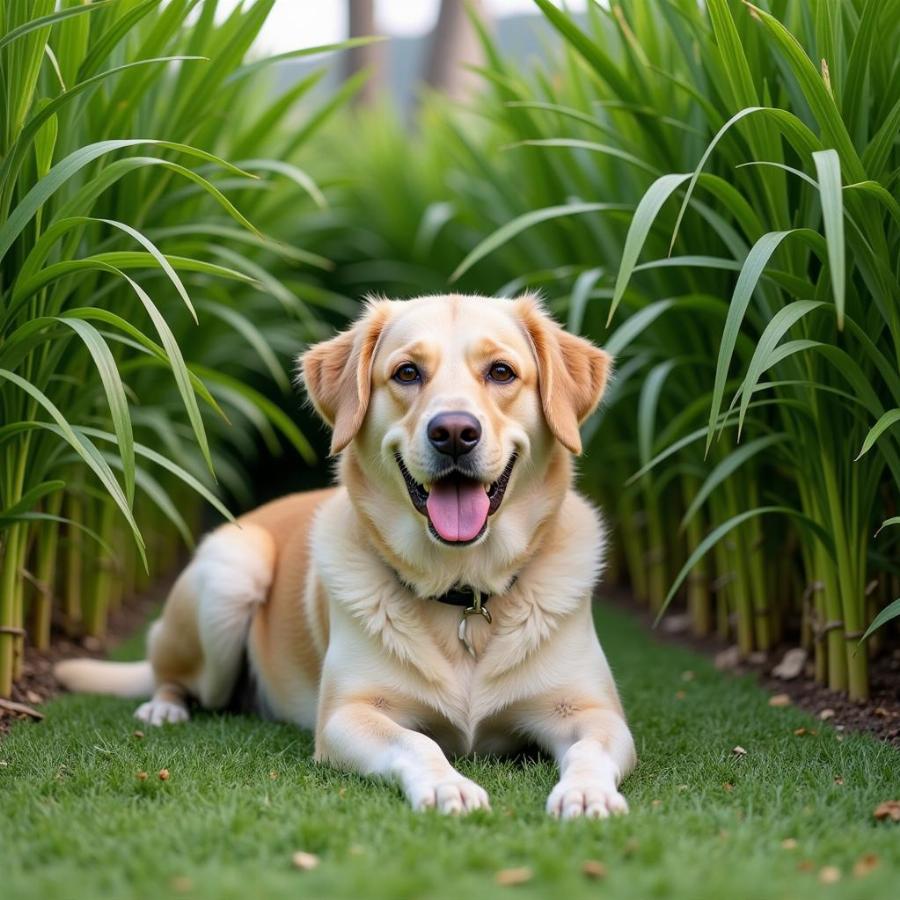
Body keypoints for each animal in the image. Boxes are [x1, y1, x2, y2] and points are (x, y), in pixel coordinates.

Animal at [56, 294, 636, 816]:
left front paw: (586, 794)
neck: (463, 593)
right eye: (407, 372)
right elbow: (419, 742)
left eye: (501, 372)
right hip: (231, 572)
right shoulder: (347, 715)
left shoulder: (595, 713)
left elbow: (590, 748)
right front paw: (447, 786)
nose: (453, 432)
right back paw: (164, 708)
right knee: (174, 675)